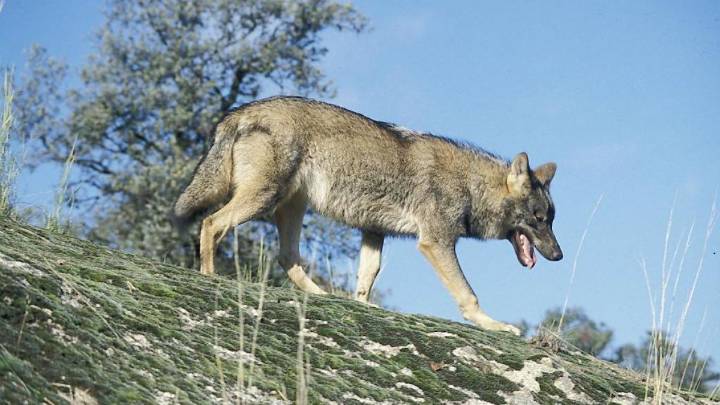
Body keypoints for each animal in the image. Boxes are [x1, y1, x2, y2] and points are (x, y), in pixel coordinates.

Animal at [173, 96, 563, 335]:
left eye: (551, 219)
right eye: (539, 218)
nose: (559, 255)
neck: (470, 186)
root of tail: (239, 111)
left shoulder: (374, 232)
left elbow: (366, 278)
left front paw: (361, 307)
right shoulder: (435, 243)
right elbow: (468, 295)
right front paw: (494, 325)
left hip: (290, 208)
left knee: (287, 256)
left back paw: (322, 295)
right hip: (262, 200)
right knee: (211, 223)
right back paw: (208, 276)